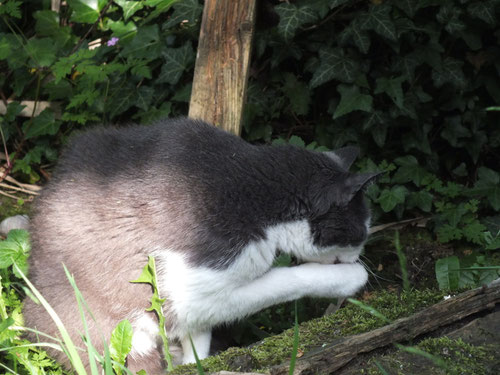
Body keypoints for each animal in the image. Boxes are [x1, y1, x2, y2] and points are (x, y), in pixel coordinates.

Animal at [22, 117, 376, 374]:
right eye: (361, 232)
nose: (360, 255)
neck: (256, 192)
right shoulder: (193, 287)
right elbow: (283, 280)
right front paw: (352, 278)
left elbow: (200, 336)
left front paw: (196, 359)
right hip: (104, 327)